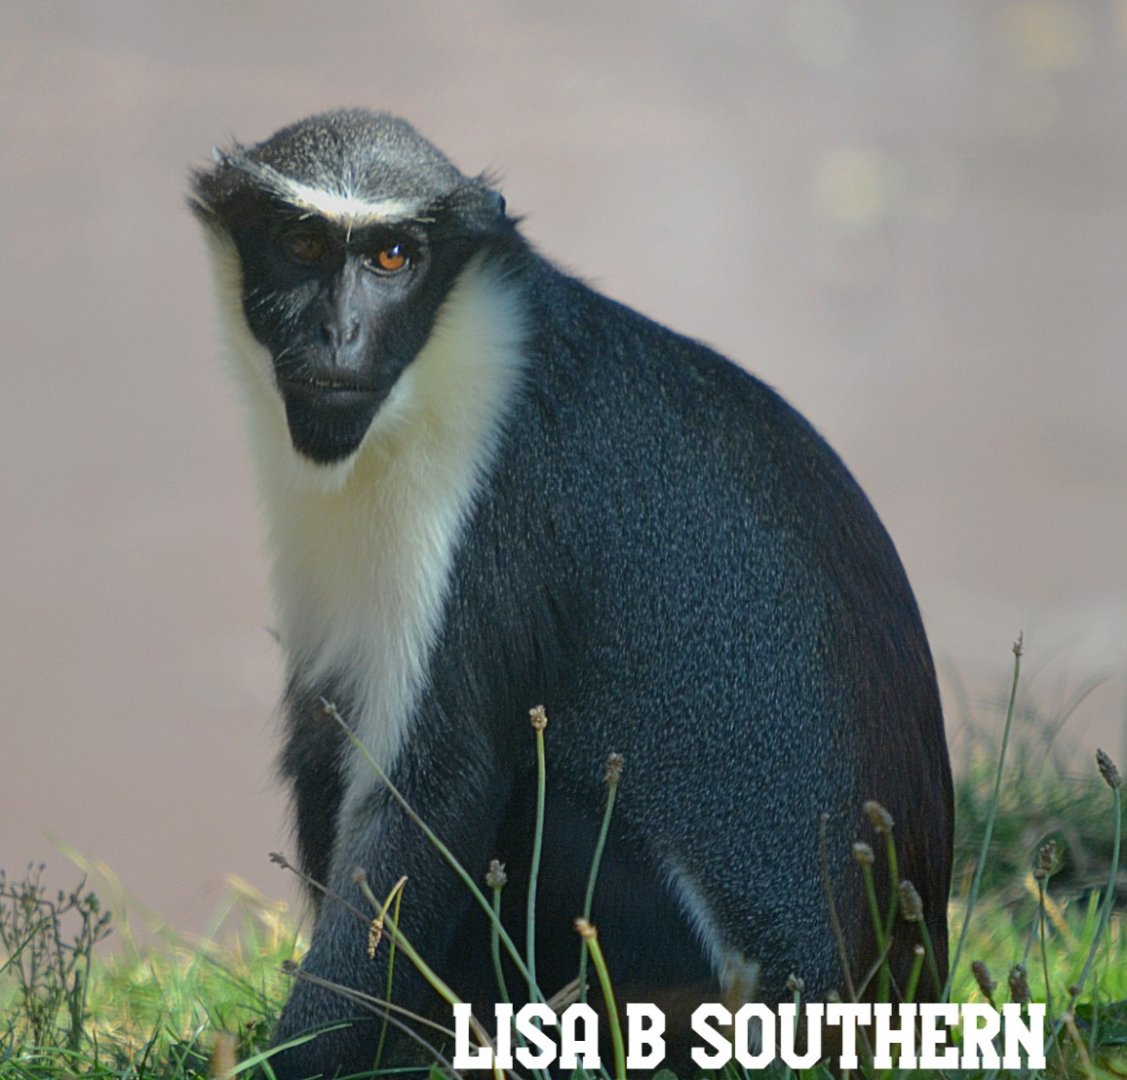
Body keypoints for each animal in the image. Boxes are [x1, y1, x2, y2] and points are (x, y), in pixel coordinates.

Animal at [189, 109, 953, 1078]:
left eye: (393, 256)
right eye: (301, 244)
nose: (338, 334)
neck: (444, 359)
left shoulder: (496, 508)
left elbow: (434, 793)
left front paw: (297, 1054)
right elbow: (326, 731)